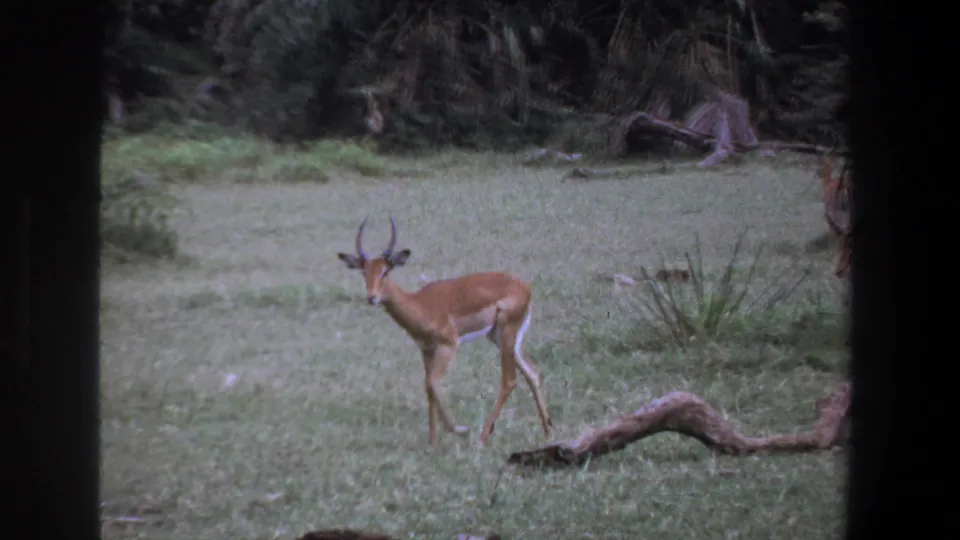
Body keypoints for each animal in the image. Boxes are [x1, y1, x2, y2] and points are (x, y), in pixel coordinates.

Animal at [337, 216, 553, 447]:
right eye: (364, 272)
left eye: (385, 271)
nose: (372, 297)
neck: (421, 304)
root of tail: (526, 288)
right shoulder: (426, 350)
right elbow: (428, 388)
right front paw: (432, 442)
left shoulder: (448, 346)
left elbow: (433, 383)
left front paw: (459, 430)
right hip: (502, 337)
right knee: (533, 373)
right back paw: (548, 433)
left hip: (506, 334)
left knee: (509, 380)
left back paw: (482, 436)